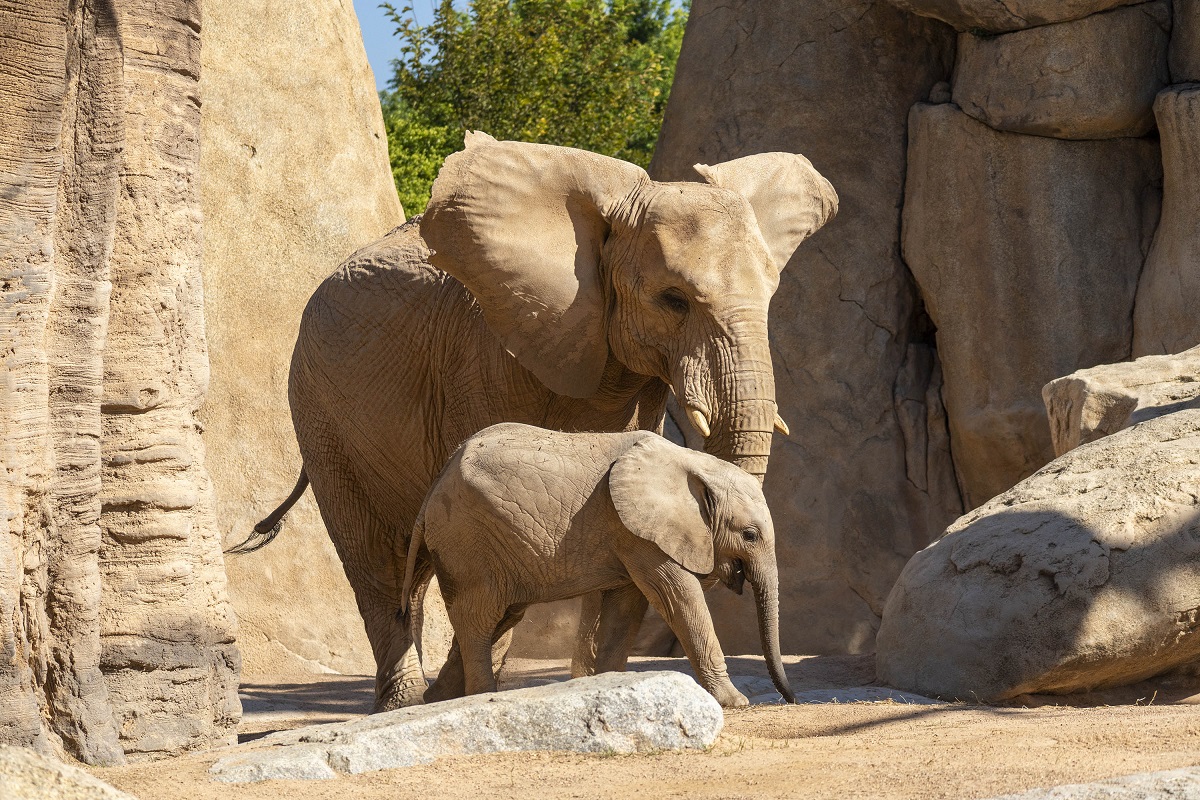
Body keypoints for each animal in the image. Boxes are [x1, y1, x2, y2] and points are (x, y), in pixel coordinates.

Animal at [402, 423, 795, 708]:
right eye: (749, 535)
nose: (789, 699)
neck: (694, 463)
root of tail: (434, 486)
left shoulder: (632, 532)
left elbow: (627, 607)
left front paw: (611, 685)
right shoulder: (637, 531)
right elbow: (678, 597)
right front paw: (735, 703)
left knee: (501, 617)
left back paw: (434, 699)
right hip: (466, 538)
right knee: (481, 618)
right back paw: (479, 696)